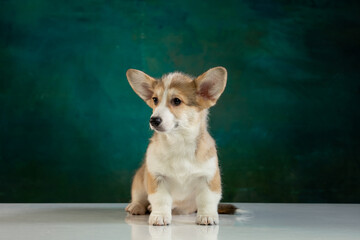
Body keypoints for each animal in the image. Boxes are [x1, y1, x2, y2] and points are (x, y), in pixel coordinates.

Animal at [124, 66, 236, 225]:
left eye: (176, 101)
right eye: (155, 100)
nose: (153, 120)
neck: (178, 142)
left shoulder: (209, 177)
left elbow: (207, 199)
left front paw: (207, 216)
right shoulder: (157, 177)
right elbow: (161, 199)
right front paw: (159, 216)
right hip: (139, 180)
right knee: (140, 197)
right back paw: (137, 206)